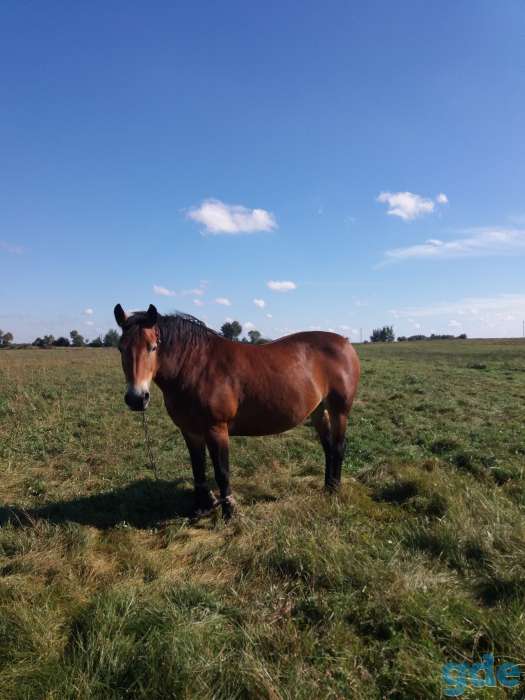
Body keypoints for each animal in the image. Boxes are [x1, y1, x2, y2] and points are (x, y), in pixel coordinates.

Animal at [114, 303, 361, 519]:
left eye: (153, 347)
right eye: (121, 348)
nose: (137, 398)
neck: (196, 367)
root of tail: (345, 343)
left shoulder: (216, 429)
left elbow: (222, 472)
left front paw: (229, 512)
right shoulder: (190, 431)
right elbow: (198, 469)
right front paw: (200, 508)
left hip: (339, 410)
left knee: (338, 447)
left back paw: (335, 489)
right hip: (318, 410)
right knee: (328, 447)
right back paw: (327, 486)